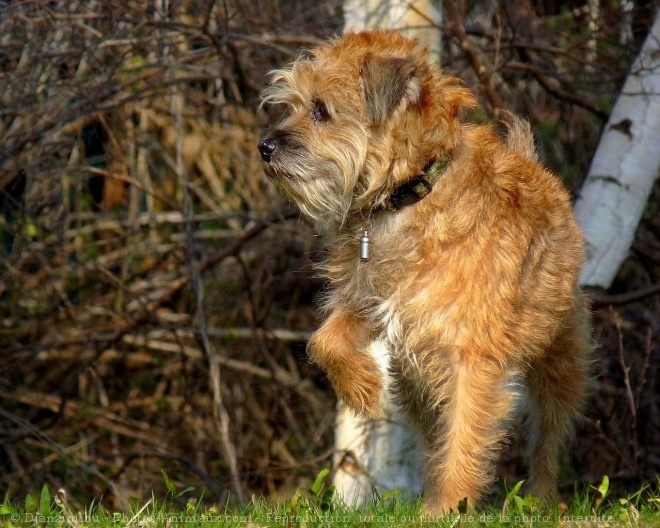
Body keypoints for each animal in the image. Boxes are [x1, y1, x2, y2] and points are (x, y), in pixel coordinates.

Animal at [255, 31, 592, 512]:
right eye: (293, 105)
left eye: (321, 110)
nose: (264, 146)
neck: (407, 197)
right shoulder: (371, 304)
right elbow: (324, 340)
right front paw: (361, 386)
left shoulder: (470, 356)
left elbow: (465, 436)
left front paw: (448, 508)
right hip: (414, 383)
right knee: (434, 436)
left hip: (558, 363)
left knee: (546, 438)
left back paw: (541, 501)